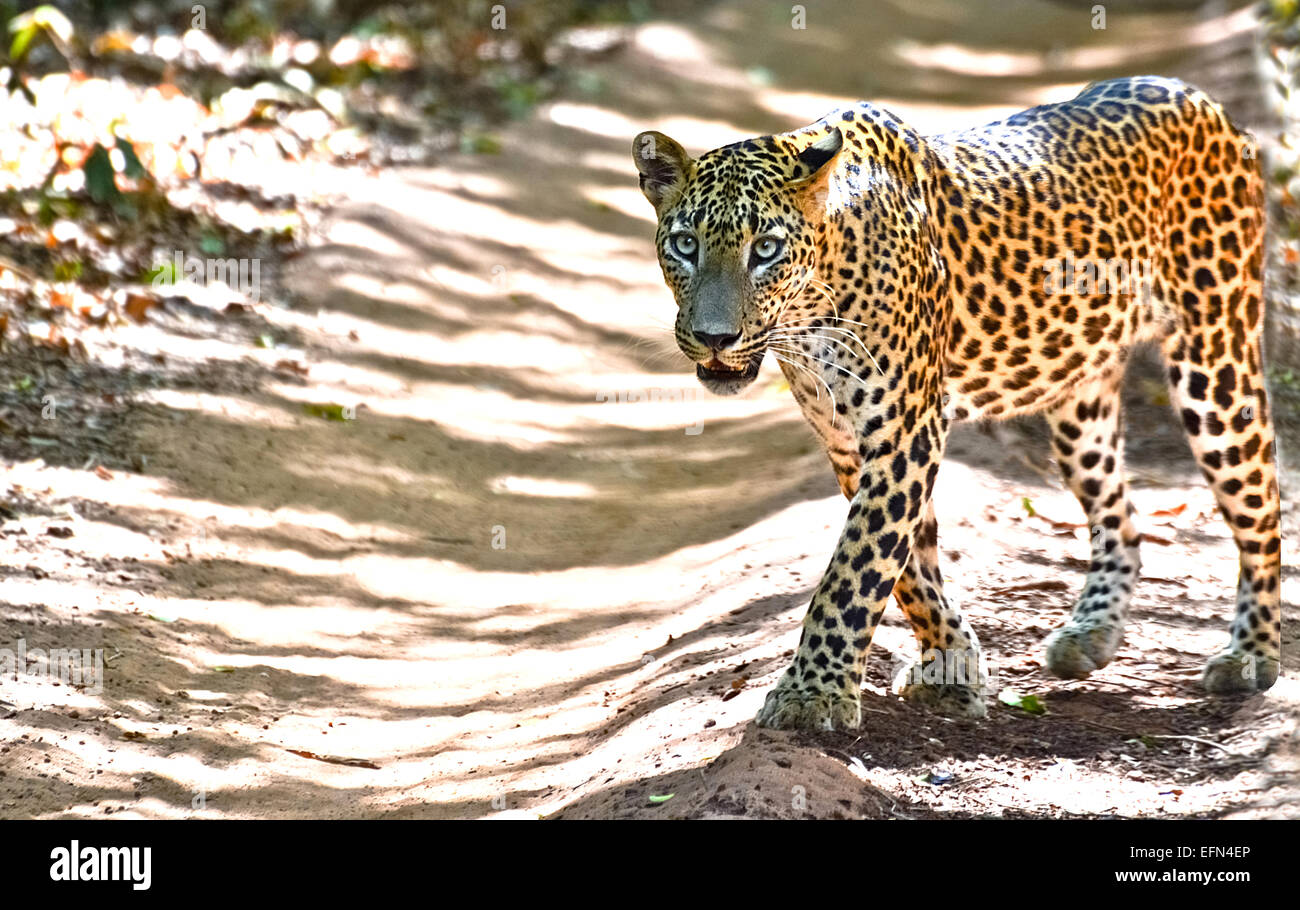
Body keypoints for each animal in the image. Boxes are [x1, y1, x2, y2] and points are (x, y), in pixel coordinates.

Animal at [634, 76, 1284, 733]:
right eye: (685, 245)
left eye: (765, 249)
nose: (716, 337)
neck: (813, 303)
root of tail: (1194, 95)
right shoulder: (850, 443)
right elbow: (908, 570)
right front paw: (953, 666)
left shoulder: (906, 431)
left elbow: (854, 570)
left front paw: (811, 694)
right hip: (1081, 407)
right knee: (1121, 516)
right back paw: (1091, 632)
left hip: (1216, 366)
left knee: (1262, 505)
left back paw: (1252, 655)